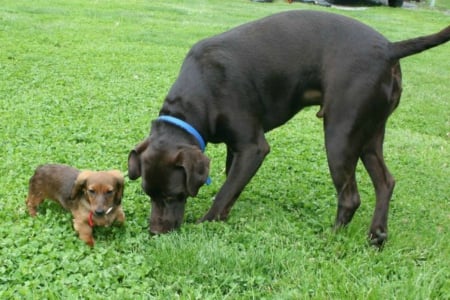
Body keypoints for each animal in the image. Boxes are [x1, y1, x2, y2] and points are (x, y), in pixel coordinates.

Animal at [127, 9, 450, 246]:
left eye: (174, 195)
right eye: (148, 194)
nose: (155, 233)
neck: (199, 91)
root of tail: (388, 48)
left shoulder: (253, 147)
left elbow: (224, 193)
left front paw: (207, 223)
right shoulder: (236, 148)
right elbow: (231, 185)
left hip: (340, 136)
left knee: (350, 197)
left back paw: (331, 238)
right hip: (369, 134)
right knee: (385, 182)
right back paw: (376, 235)